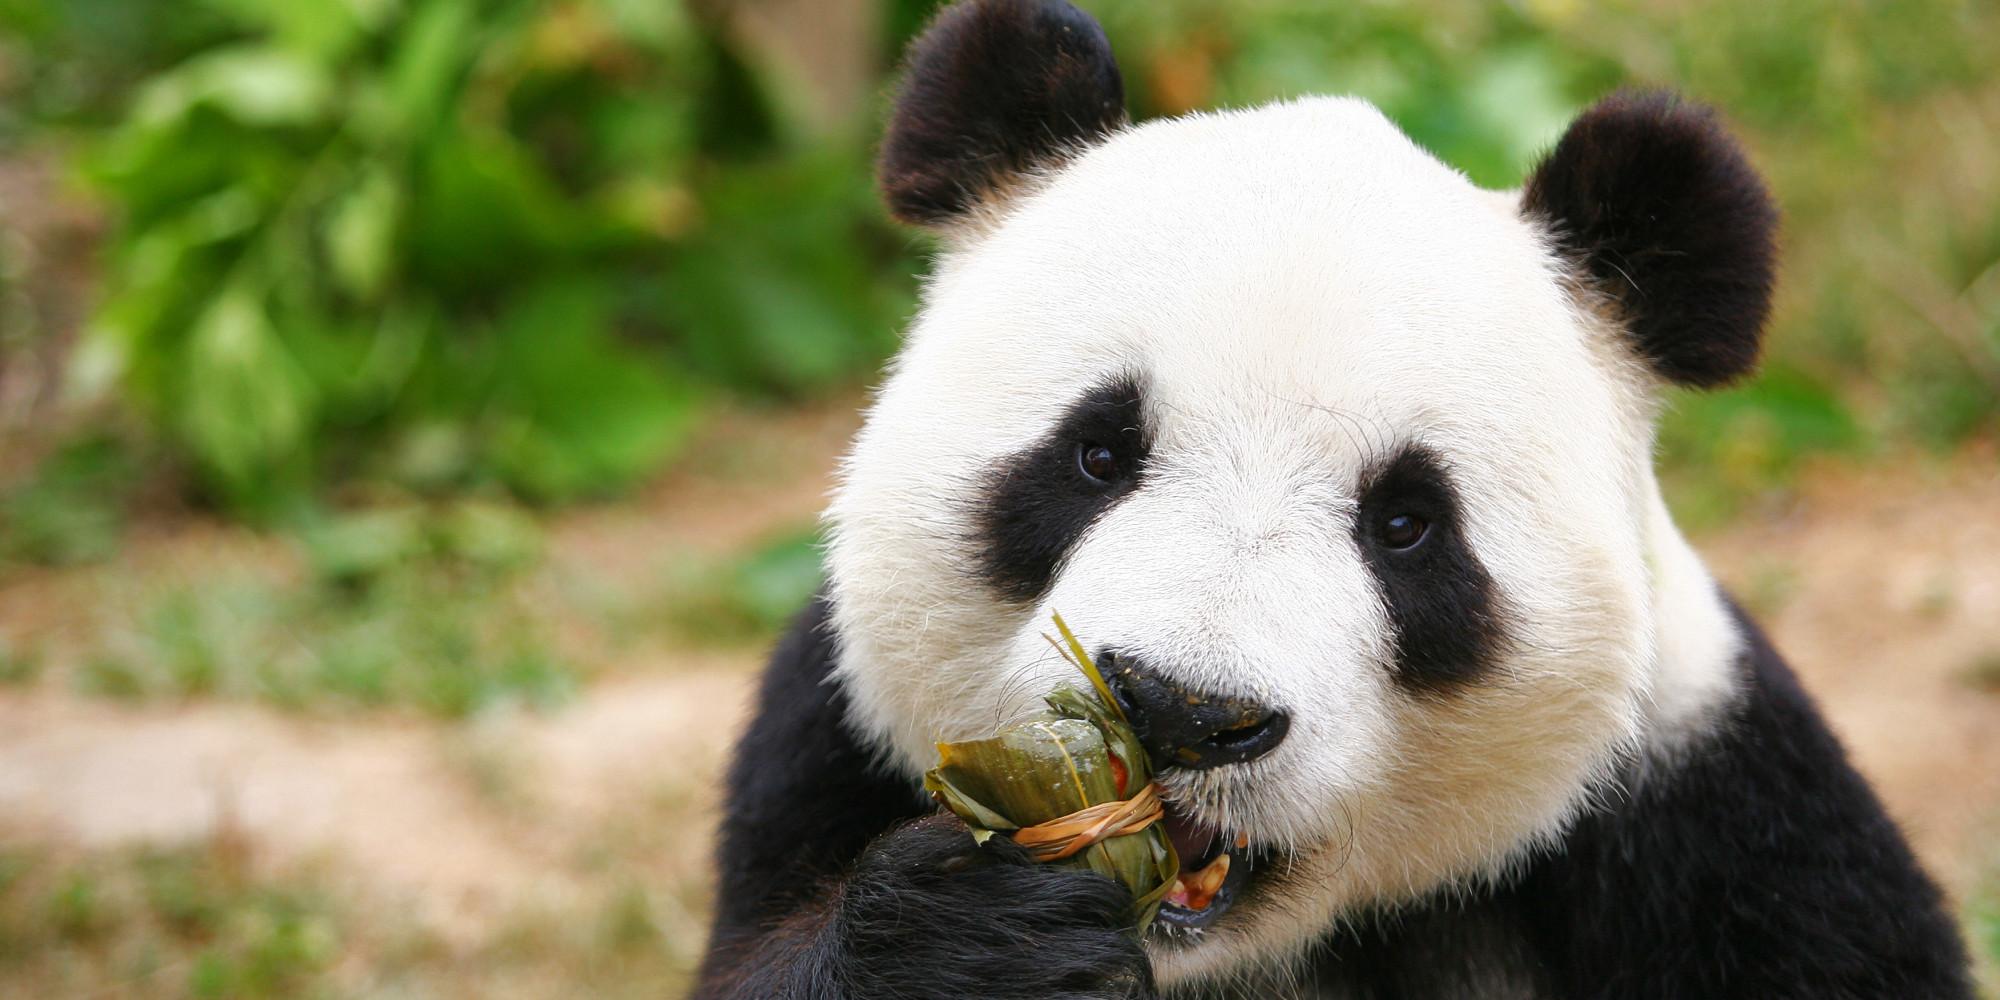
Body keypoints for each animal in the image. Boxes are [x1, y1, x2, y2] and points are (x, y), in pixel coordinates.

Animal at [692, 1, 1974, 997]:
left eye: (1405, 525)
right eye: (1096, 455)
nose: (1180, 709)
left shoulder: (1717, 812)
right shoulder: (824, 744)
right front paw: (970, 937)